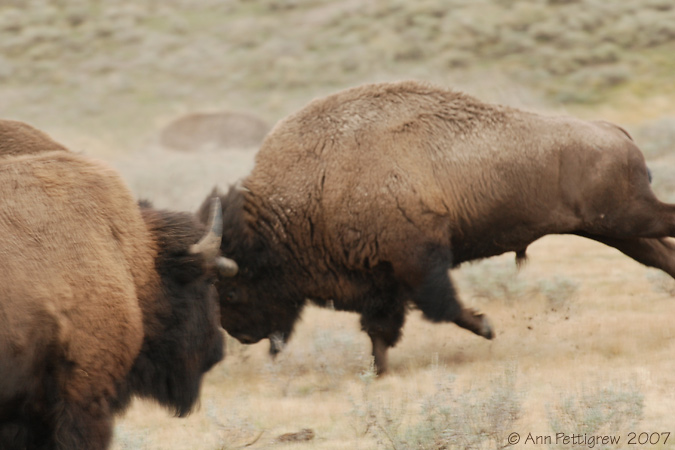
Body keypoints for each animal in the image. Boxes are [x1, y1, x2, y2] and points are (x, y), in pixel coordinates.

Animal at [201, 81, 675, 376]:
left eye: (233, 291)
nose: (241, 335)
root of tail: (613, 130)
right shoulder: (381, 278)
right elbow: (380, 329)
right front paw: (379, 373)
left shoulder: (419, 259)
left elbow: (441, 307)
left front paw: (487, 326)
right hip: (615, 229)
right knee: (663, 255)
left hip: (627, 216)